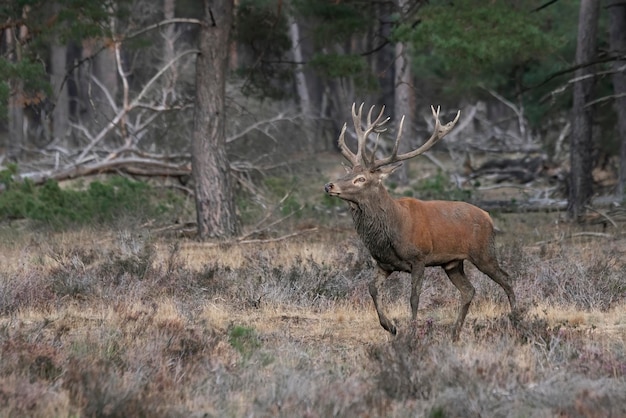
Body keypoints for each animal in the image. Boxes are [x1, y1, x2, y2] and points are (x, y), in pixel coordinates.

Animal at [324, 103, 516, 342]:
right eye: (348, 172)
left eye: (361, 179)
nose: (329, 185)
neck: (392, 230)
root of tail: (489, 216)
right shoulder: (384, 263)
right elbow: (372, 288)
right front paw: (390, 326)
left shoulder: (419, 258)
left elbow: (414, 298)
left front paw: (412, 333)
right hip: (452, 263)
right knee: (468, 290)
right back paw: (455, 333)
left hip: (484, 253)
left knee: (507, 279)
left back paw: (517, 320)